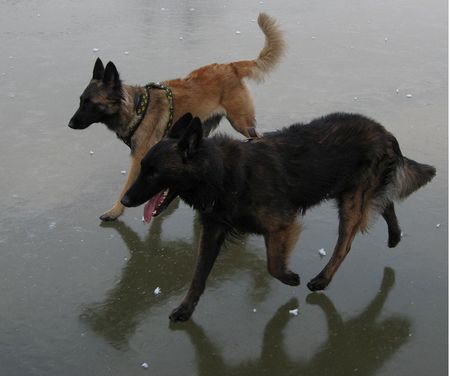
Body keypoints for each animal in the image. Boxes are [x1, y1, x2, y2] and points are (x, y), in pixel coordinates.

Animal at [67, 13, 284, 222]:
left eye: (90, 103)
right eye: (81, 100)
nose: (70, 124)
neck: (137, 109)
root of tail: (231, 66)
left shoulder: (138, 159)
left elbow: (126, 188)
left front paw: (114, 212)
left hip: (242, 123)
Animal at [120, 113, 436, 322]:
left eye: (153, 172)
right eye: (143, 167)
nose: (124, 201)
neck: (221, 173)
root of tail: (385, 133)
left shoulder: (281, 225)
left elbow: (273, 264)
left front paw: (289, 277)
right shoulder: (213, 231)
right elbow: (198, 275)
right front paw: (186, 308)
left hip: (350, 201)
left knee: (345, 243)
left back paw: (322, 280)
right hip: (354, 194)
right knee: (386, 202)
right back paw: (394, 236)